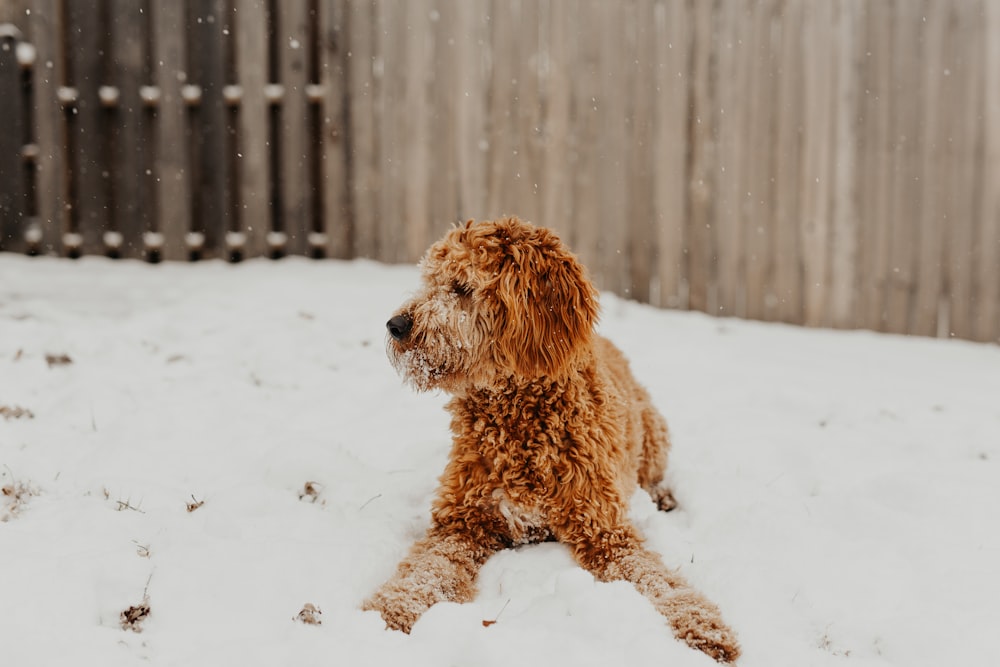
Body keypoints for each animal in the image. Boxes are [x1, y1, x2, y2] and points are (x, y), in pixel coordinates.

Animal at [364, 218, 740, 664]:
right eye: (430, 280)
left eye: (462, 287)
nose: (395, 325)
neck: (520, 421)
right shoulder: (460, 522)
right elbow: (425, 570)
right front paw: (389, 611)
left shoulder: (605, 532)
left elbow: (657, 581)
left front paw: (703, 626)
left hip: (653, 430)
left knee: (655, 473)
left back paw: (663, 496)